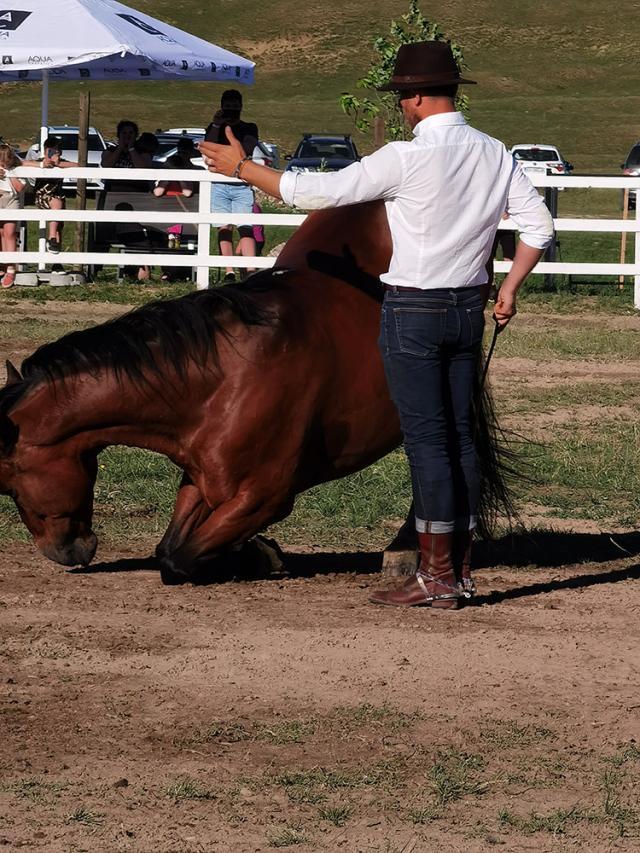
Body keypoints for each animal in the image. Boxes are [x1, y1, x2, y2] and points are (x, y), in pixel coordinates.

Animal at [0, 202, 510, 584]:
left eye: (9, 483)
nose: (63, 553)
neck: (215, 381)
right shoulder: (203, 481)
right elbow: (170, 548)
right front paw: (255, 551)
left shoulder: (262, 498)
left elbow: (179, 559)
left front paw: (257, 552)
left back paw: (408, 546)